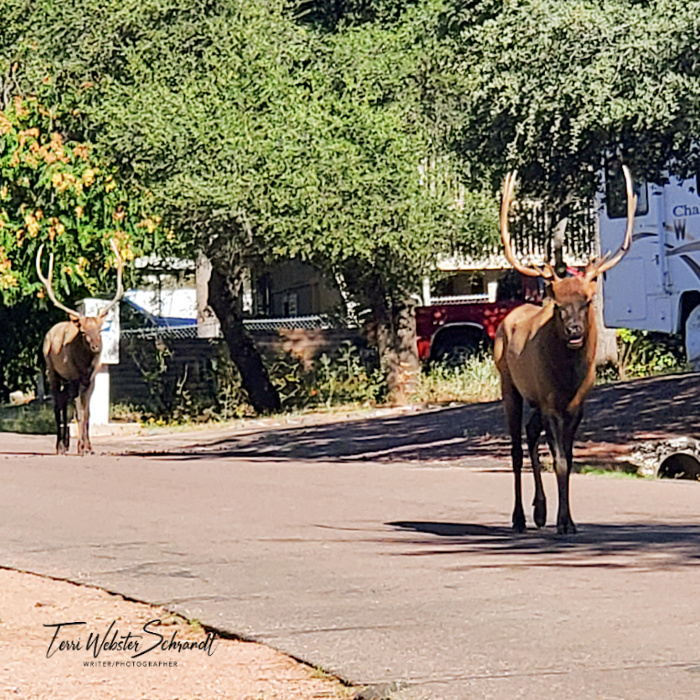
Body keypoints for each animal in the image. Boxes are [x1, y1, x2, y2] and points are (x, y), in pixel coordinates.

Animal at [36, 241, 124, 455]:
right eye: (83, 331)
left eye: (100, 328)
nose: (96, 346)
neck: (85, 366)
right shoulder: (75, 377)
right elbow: (79, 411)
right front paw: (81, 447)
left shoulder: (90, 379)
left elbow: (87, 413)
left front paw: (88, 447)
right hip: (52, 370)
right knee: (58, 403)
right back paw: (60, 446)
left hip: (67, 379)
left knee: (64, 400)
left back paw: (66, 443)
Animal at [494, 166, 636, 534]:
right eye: (558, 305)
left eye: (586, 301)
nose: (574, 331)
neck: (568, 379)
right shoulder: (551, 403)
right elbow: (558, 461)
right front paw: (564, 523)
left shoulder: (575, 406)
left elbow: (569, 461)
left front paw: (566, 518)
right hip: (509, 383)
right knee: (516, 447)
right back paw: (519, 517)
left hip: (534, 399)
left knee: (530, 434)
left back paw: (539, 511)